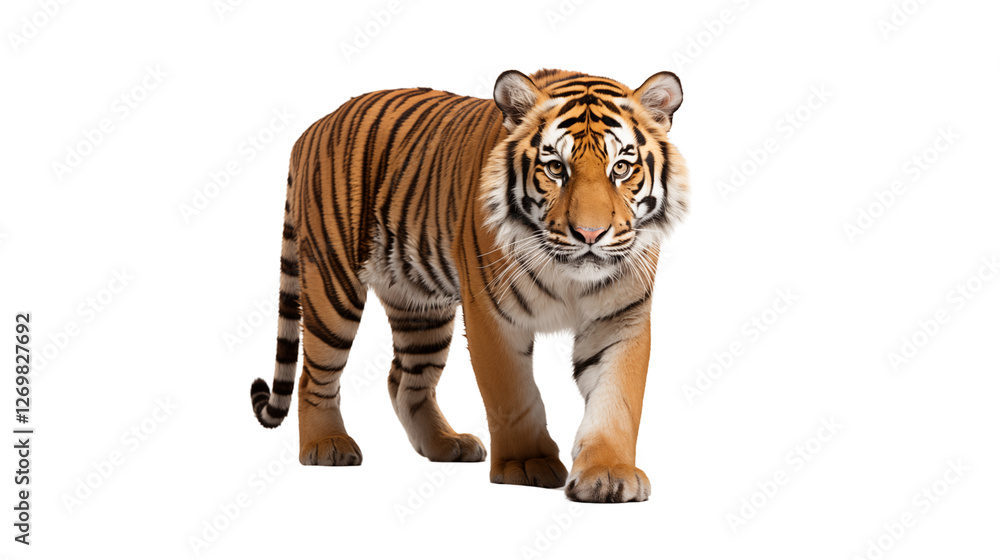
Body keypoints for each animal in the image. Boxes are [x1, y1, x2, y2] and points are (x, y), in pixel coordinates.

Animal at [250, 68, 689, 503]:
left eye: (621, 168)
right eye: (555, 169)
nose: (590, 234)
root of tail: (314, 127)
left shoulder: (620, 318)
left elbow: (617, 399)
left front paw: (609, 473)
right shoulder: (492, 313)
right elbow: (512, 395)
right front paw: (525, 463)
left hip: (420, 304)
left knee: (405, 380)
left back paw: (446, 444)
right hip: (333, 287)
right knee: (314, 374)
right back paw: (327, 445)